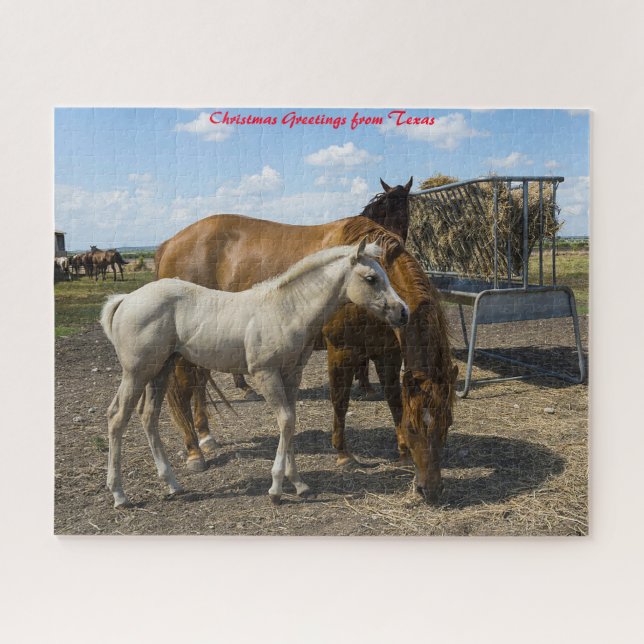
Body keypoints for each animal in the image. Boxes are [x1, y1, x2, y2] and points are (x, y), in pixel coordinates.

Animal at [101, 239, 408, 507]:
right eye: (371, 278)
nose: (402, 312)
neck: (286, 309)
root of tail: (126, 299)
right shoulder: (265, 374)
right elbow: (285, 420)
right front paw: (276, 490)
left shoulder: (292, 375)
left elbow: (291, 421)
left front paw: (299, 484)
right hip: (137, 372)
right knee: (117, 417)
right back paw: (119, 494)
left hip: (160, 370)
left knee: (148, 416)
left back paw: (172, 484)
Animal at [156, 214, 457, 504]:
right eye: (414, 427)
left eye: (447, 423)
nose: (430, 491)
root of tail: (169, 243)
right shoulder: (342, 351)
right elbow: (340, 401)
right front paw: (344, 454)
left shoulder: (388, 354)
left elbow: (394, 400)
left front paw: (403, 452)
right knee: (182, 391)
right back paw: (194, 451)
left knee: (199, 385)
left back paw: (206, 436)